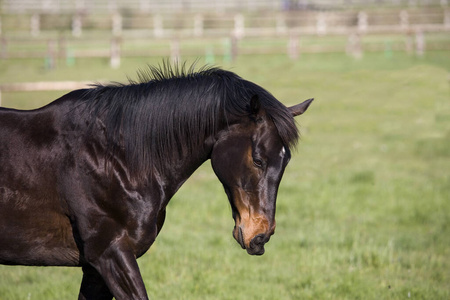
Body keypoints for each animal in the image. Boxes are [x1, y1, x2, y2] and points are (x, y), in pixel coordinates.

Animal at [0, 62, 312, 298]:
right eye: (258, 159)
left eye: (285, 162)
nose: (260, 236)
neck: (114, 158)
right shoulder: (109, 254)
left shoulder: (94, 268)